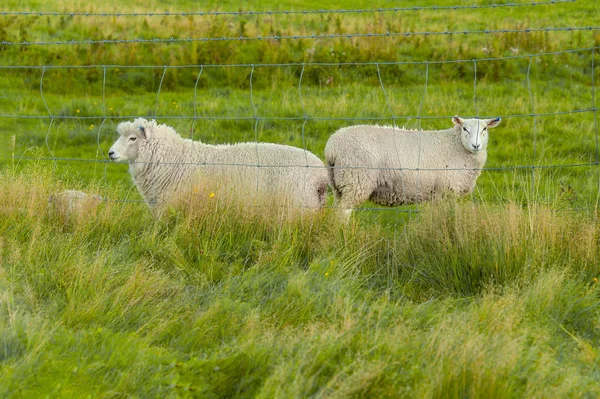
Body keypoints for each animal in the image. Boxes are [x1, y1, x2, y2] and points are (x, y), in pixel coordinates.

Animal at [324, 115, 502, 220]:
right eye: (465, 129)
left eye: (485, 129)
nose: (476, 145)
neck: (456, 145)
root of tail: (332, 147)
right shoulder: (445, 191)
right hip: (356, 179)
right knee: (344, 212)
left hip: (340, 183)